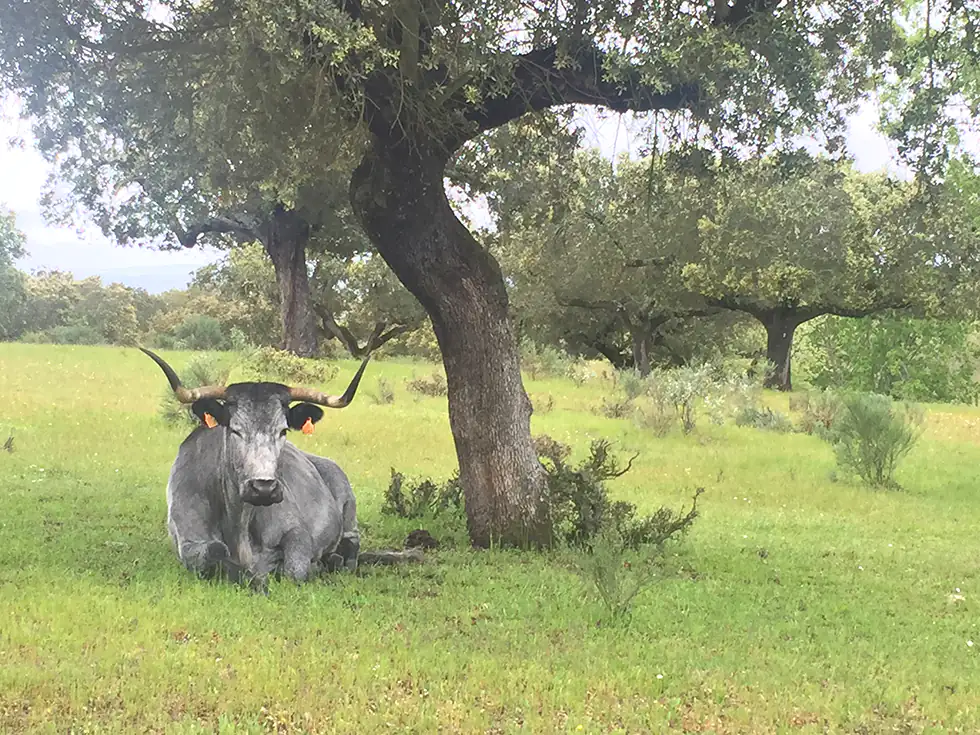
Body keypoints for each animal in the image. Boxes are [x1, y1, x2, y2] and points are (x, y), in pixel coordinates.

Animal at [140, 347, 420, 589]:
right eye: (235, 430)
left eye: (283, 430)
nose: (263, 488)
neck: (239, 520)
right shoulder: (189, 543)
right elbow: (215, 553)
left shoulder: (297, 532)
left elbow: (295, 570)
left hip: (349, 514)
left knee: (351, 549)